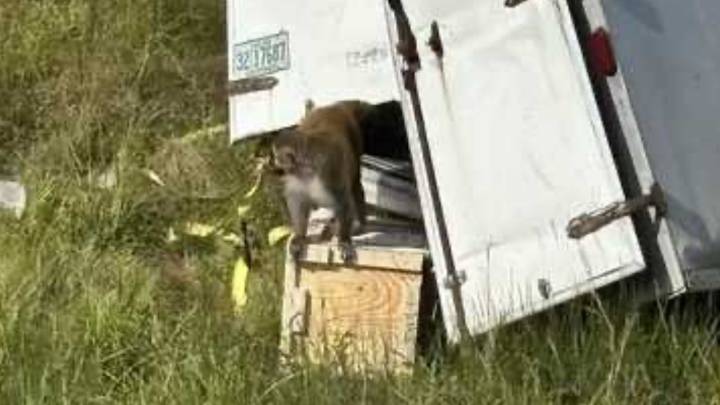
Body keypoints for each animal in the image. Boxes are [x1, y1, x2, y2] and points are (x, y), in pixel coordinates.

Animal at [269, 100, 372, 262]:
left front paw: (344, 240)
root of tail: (334, 107)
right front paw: (299, 237)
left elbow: (343, 201)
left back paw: (358, 224)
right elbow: (298, 201)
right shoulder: (295, 177)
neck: (306, 167)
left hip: (354, 137)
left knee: (355, 183)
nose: (272, 161)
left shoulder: (329, 170)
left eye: (275, 155)